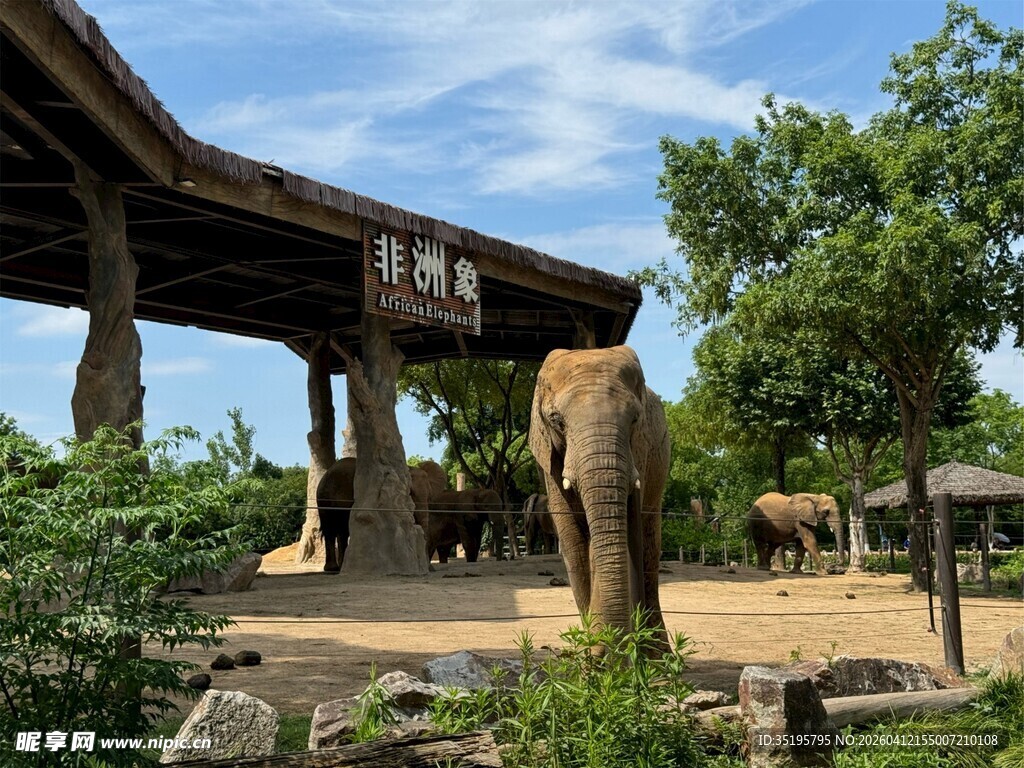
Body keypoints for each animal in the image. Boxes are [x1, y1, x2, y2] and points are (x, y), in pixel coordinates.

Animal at [529, 345, 670, 648]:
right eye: (556, 421)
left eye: (635, 418)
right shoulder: (550, 461)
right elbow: (574, 543)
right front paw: (593, 654)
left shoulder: (639, 448)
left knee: (650, 546)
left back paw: (657, 654)